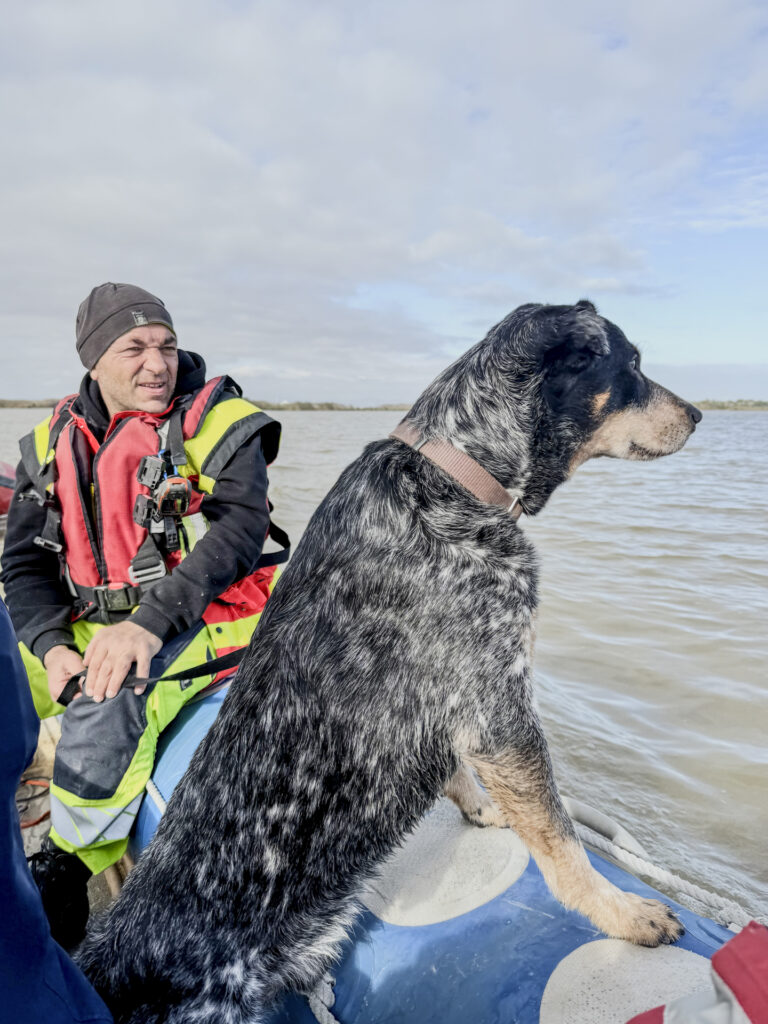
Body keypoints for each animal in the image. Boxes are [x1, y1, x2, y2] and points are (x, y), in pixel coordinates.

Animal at [78, 299, 704, 1019]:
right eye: (633, 365)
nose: (700, 413)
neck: (453, 473)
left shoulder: (458, 706)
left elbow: (466, 776)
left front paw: (482, 809)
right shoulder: (500, 705)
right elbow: (562, 843)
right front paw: (626, 916)